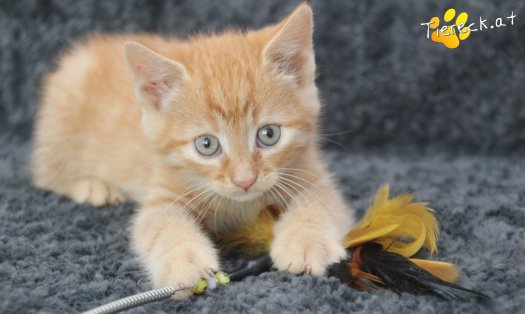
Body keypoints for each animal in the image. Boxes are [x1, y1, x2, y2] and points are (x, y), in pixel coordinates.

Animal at [31, 3, 352, 296]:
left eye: (269, 134)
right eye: (206, 145)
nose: (245, 180)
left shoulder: (312, 175)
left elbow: (318, 203)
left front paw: (307, 242)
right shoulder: (162, 195)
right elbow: (162, 226)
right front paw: (185, 263)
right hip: (60, 117)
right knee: (45, 173)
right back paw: (91, 186)